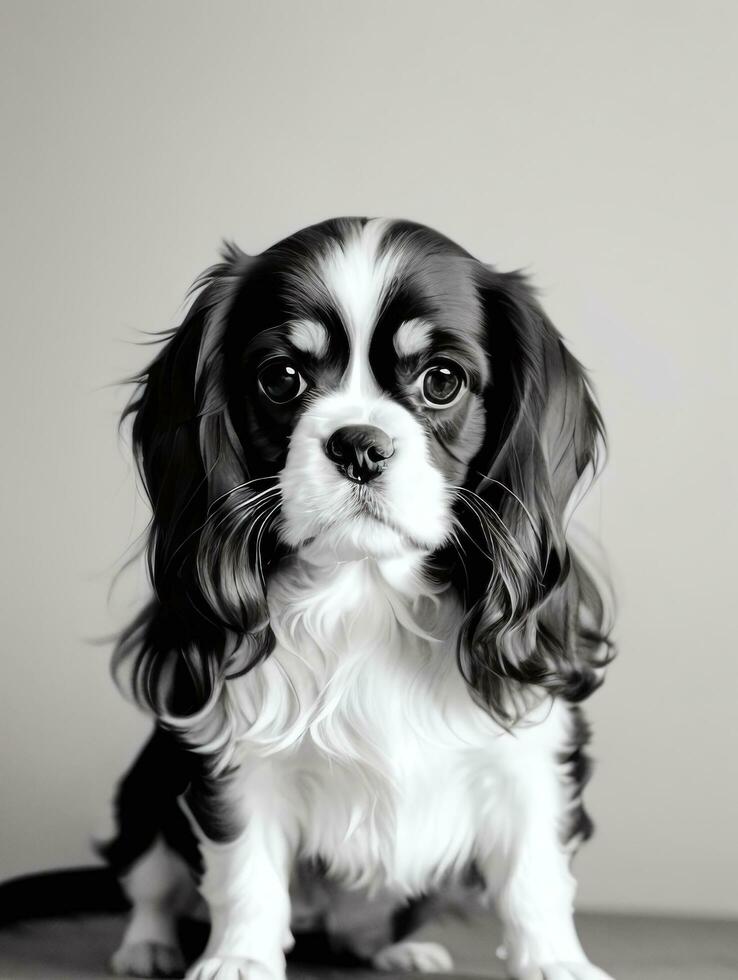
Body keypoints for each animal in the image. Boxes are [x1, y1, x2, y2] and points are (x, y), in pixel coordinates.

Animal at [102, 218, 608, 976]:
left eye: (442, 381)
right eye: (281, 378)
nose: (360, 444)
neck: (366, 590)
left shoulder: (532, 756)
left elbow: (534, 877)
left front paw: (555, 961)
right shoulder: (236, 754)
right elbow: (245, 874)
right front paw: (239, 960)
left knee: (363, 926)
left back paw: (396, 948)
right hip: (146, 788)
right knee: (152, 883)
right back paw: (148, 946)